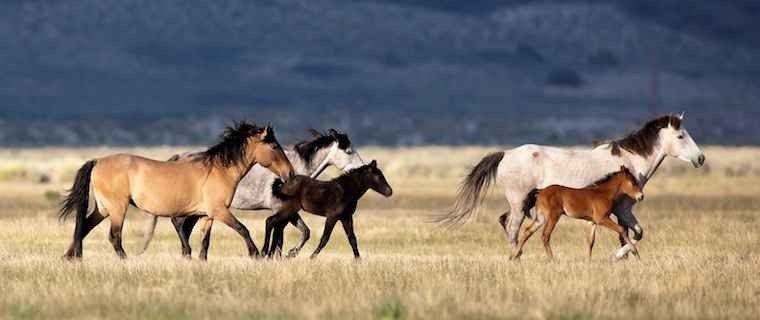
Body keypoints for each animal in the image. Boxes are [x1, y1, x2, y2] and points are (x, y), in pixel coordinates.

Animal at [58, 122, 294, 260]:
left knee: (84, 227)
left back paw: (70, 257)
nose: (290, 173)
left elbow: (205, 241)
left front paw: (201, 261)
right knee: (114, 236)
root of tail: (98, 161)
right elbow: (243, 229)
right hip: (117, 208)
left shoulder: (207, 215)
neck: (218, 170)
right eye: (274, 146)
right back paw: (125, 260)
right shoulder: (220, 211)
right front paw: (256, 254)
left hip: (103, 209)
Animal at [139, 129, 366, 256]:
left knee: (184, 228)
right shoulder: (280, 210)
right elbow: (282, 237)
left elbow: (305, 232)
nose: (362, 169)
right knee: (180, 225)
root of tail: (179, 157)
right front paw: (277, 255)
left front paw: (289, 254)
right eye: (349, 151)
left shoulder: (288, 212)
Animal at [512, 168, 644, 260]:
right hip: (553, 217)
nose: (641, 196)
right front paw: (636, 253)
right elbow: (622, 229)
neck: (603, 193)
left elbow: (591, 241)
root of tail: (541, 191)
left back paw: (513, 256)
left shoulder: (593, 222)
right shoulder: (602, 219)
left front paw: (588, 260)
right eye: (633, 182)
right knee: (545, 235)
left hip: (541, 218)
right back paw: (552, 259)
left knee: (527, 232)